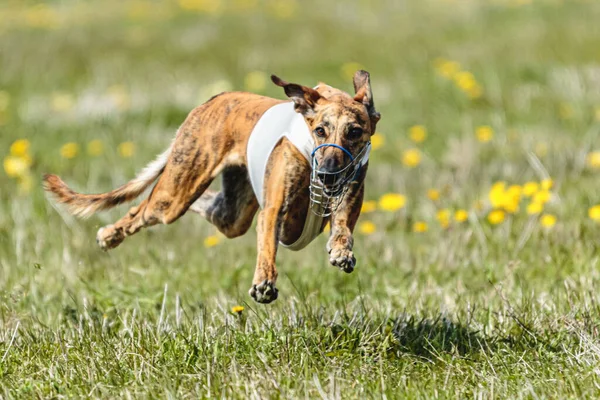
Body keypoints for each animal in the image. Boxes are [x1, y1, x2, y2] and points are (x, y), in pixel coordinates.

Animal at [43, 71, 380, 304]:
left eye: (354, 132)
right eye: (320, 130)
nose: (327, 175)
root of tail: (212, 100)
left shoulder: (348, 193)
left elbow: (342, 226)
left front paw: (341, 251)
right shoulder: (274, 210)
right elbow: (268, 244)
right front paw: (264, 283)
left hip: (231, 213)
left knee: (208, 203)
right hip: (175, 194)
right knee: (143, 207)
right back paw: (108, 235)